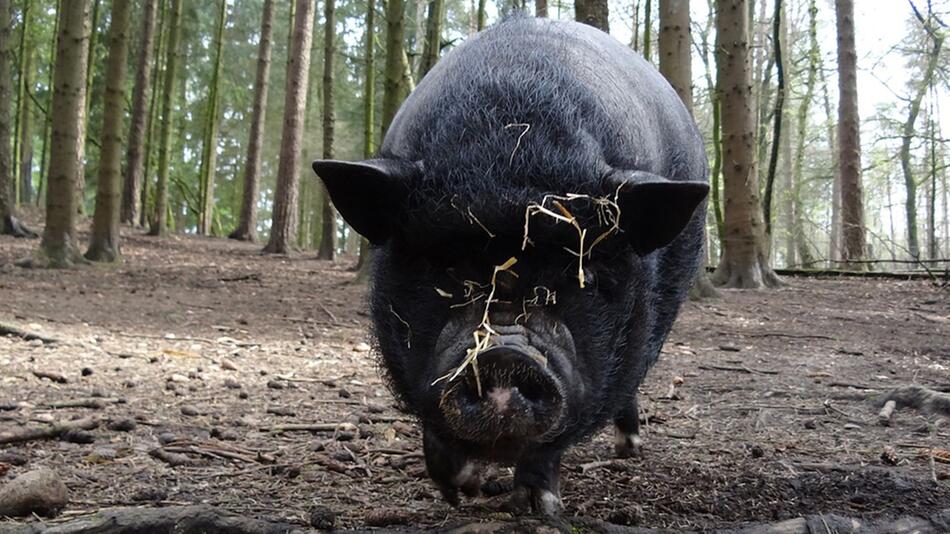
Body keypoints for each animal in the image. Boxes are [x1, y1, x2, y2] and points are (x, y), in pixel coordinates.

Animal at [316, 16, 712, 516]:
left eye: (582, 275)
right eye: (442, 268)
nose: (503, 355)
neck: (509, 151)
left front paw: (537, 507)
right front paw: (461, 490)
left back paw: (628, 449)